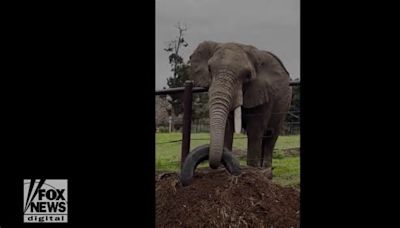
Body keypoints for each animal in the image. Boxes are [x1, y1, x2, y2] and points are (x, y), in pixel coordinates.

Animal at [189, 41, 292, 178]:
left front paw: (253, 171)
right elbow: (227, 129)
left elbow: (255, 131)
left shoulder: (264, 95)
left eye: (247, 76)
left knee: (271, 136)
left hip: (283, 106)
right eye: (209, 69)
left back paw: (267, 173)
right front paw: (223, 169)